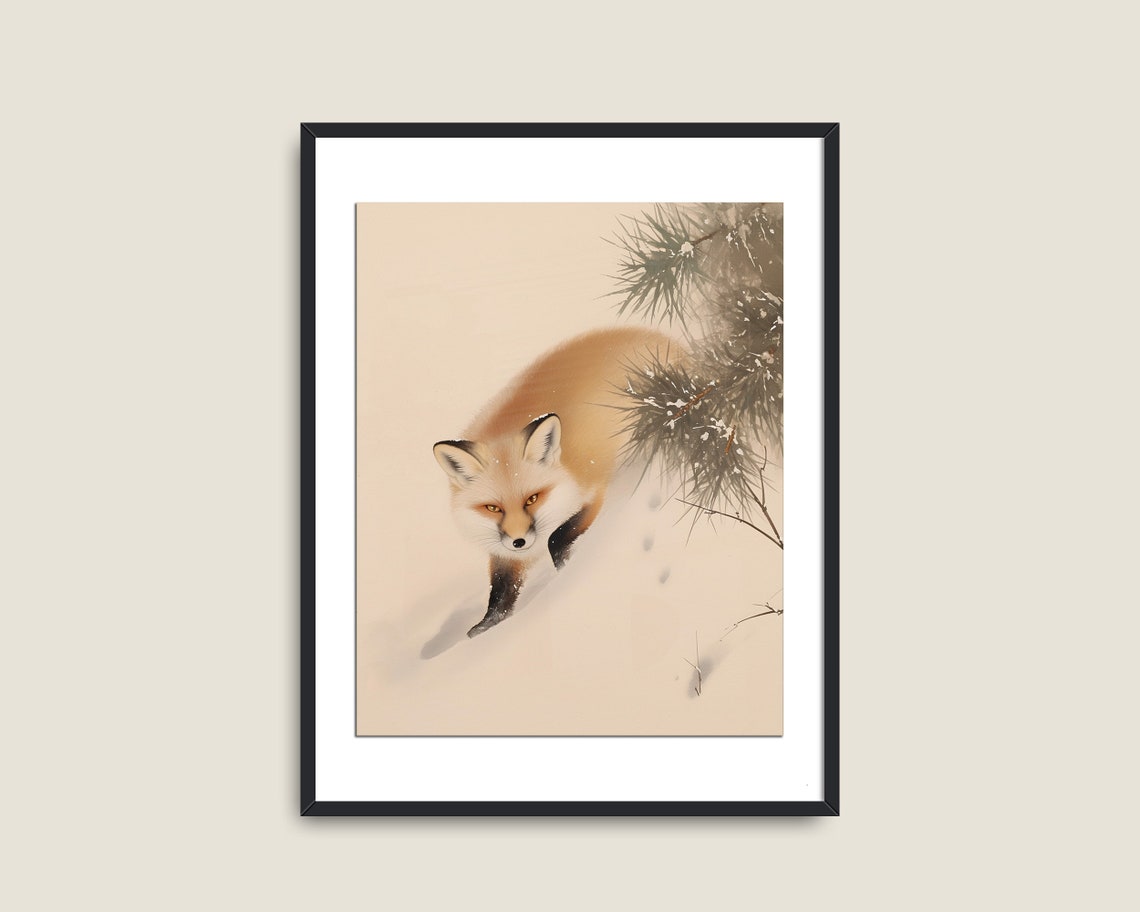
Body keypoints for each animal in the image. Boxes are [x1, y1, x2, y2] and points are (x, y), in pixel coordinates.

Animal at [433, 326, 679, 637]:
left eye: (532, 498)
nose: (519, 541)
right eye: (492, 508)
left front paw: (565, 568)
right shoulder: (505, 557)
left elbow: (556, 539)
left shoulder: (593, 490)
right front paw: (481, 631)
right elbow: (500, 595)